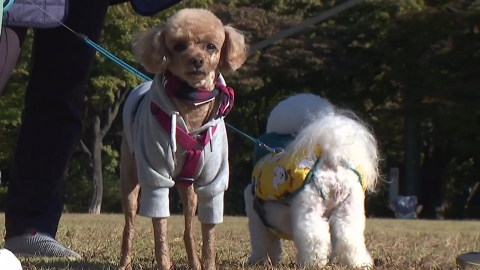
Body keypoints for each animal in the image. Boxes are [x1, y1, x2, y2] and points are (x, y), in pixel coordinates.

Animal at [244, 93, 378, 268]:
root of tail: (329, 164)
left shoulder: (257, 219)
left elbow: (262, 243)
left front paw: (258, 261)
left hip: (309, 208)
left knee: (316, 238)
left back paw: (311, 263)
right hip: (350, 208)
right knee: (349, 237)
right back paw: (359, 263)